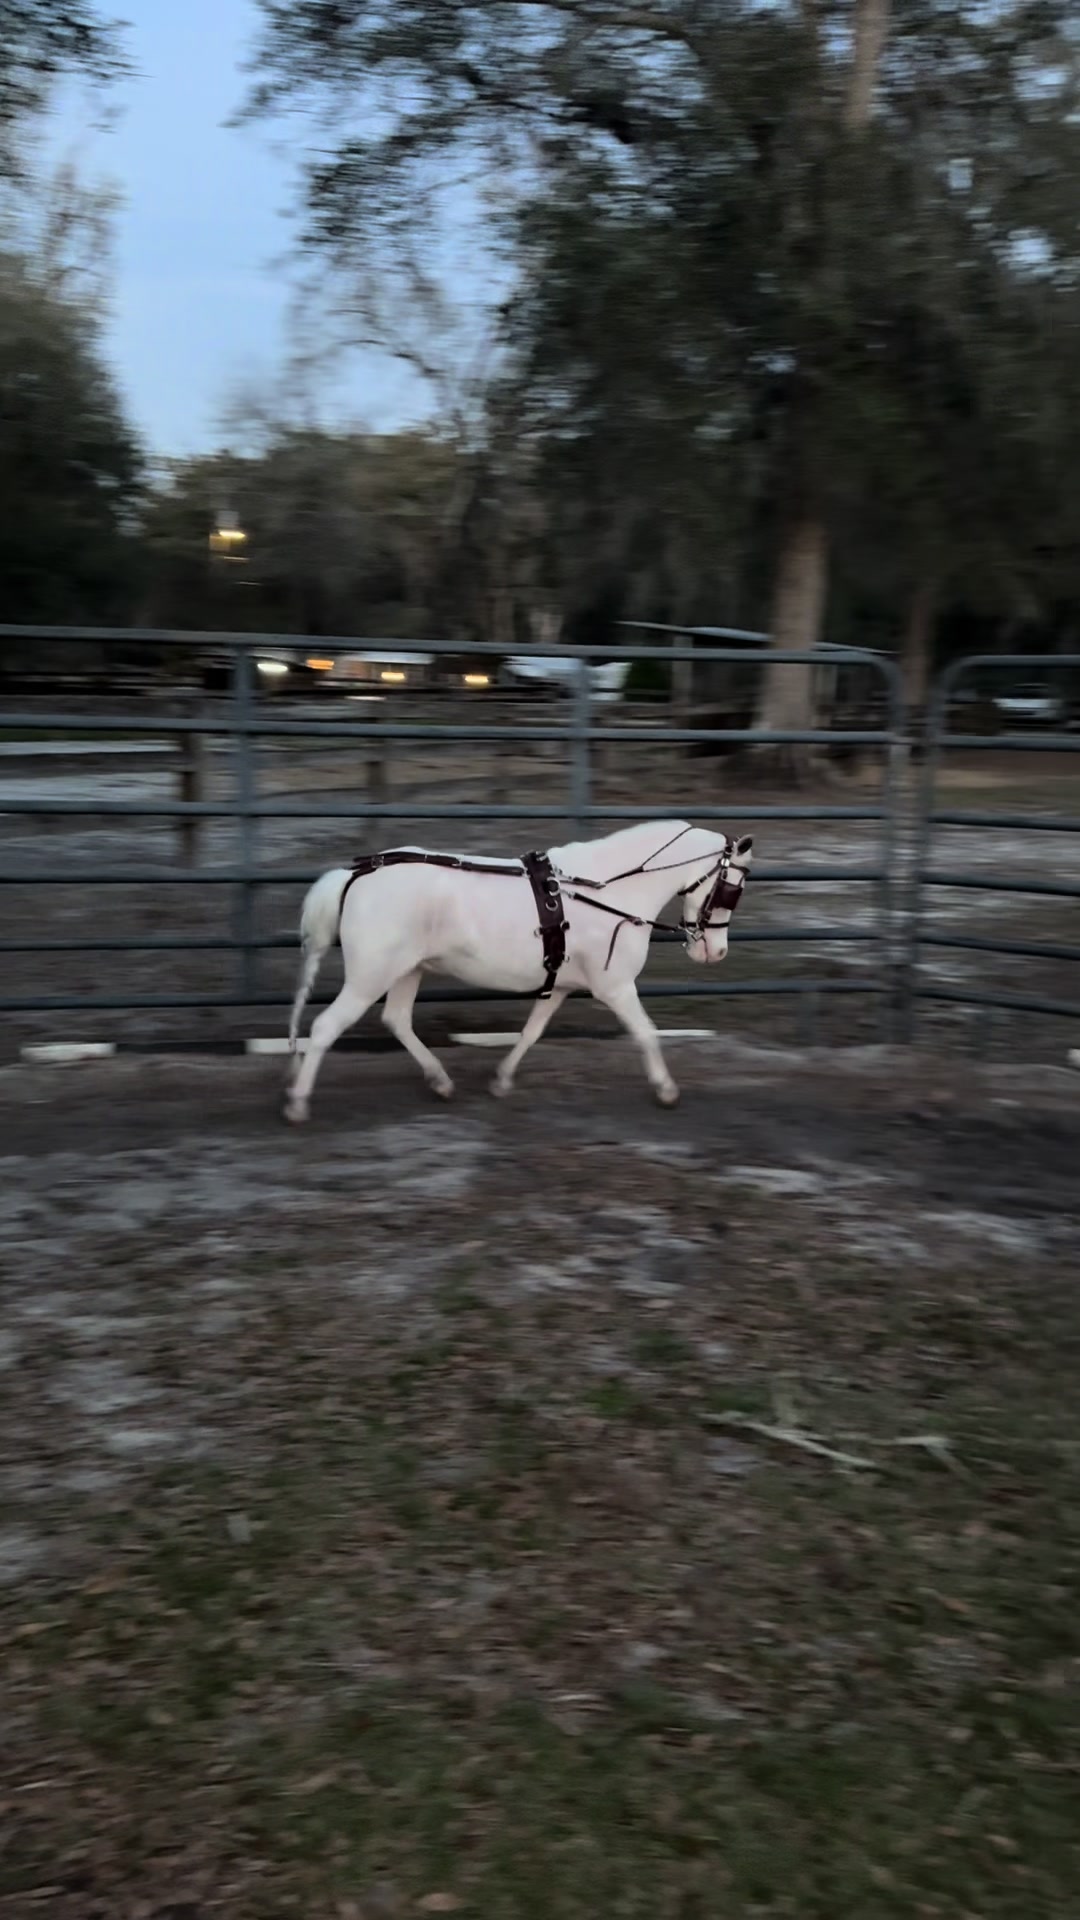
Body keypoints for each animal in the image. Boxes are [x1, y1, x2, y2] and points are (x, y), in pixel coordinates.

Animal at [284, 819, 753, 1122]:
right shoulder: (616, 987)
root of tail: (358, 873)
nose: (717, 951)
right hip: (370, 977)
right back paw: (298, 1102)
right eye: (732, 888)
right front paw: (666, 1090)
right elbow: (645, 1033)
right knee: (325, 1028)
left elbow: (531, 1032)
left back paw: (440, 1080)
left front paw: (502, 1079)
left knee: (396, 1019)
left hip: (407, 970)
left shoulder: (560, 985)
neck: (606, 890)